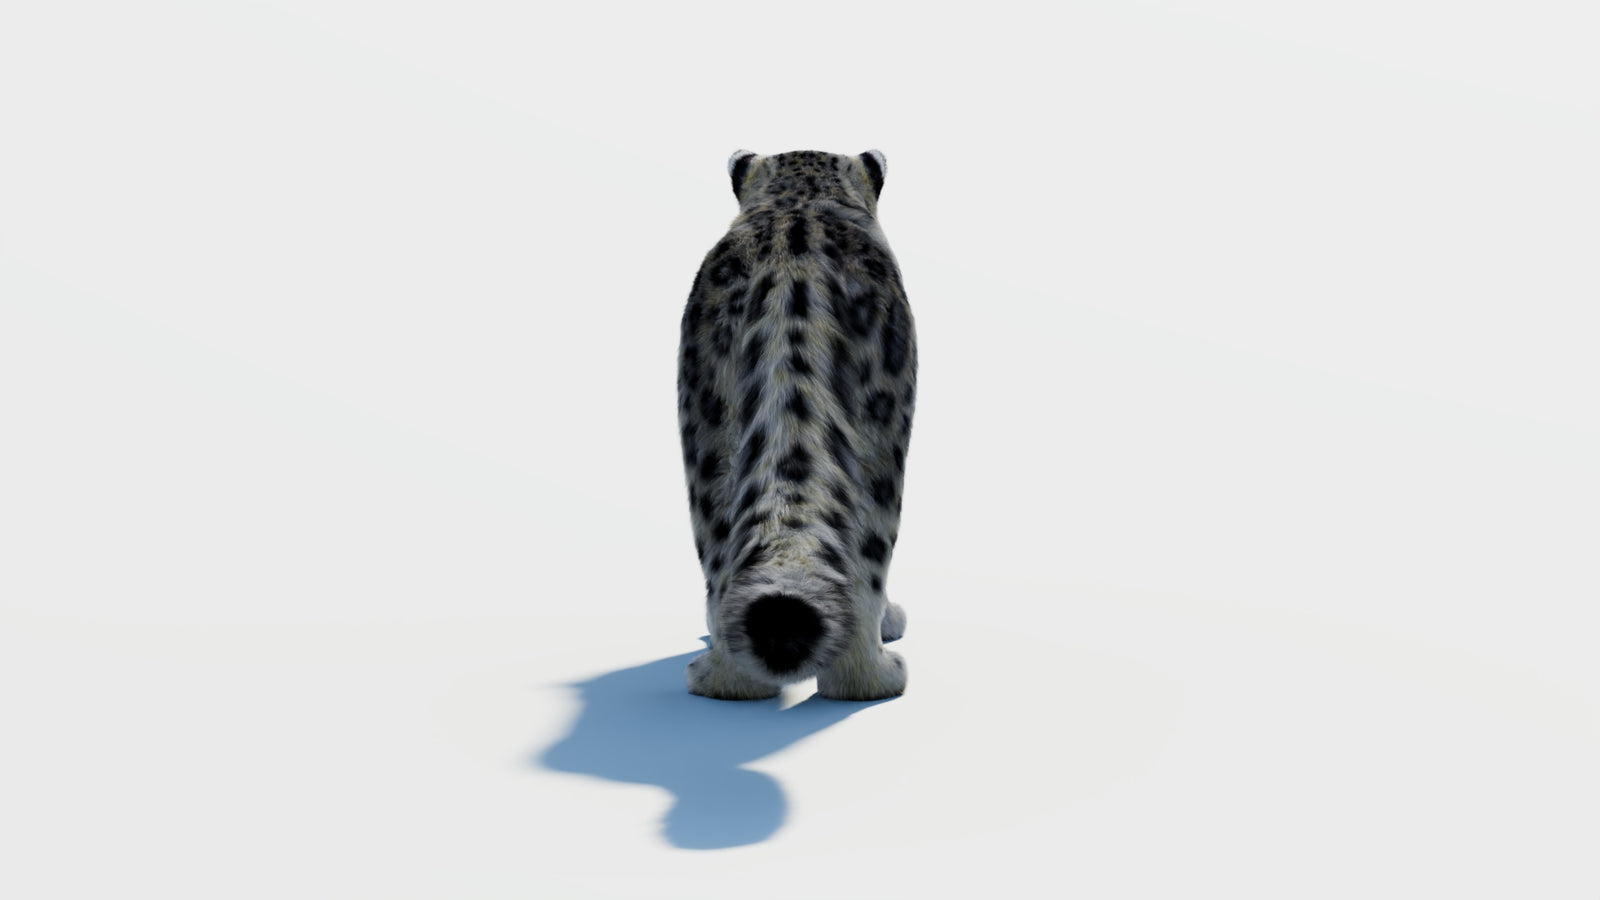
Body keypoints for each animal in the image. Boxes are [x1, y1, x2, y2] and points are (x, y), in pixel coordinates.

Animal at [677, 149, 916, 701]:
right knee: (870, 555)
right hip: (884, 442)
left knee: (718, 553)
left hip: (706, 431)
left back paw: (720, 677)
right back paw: (879, 673)